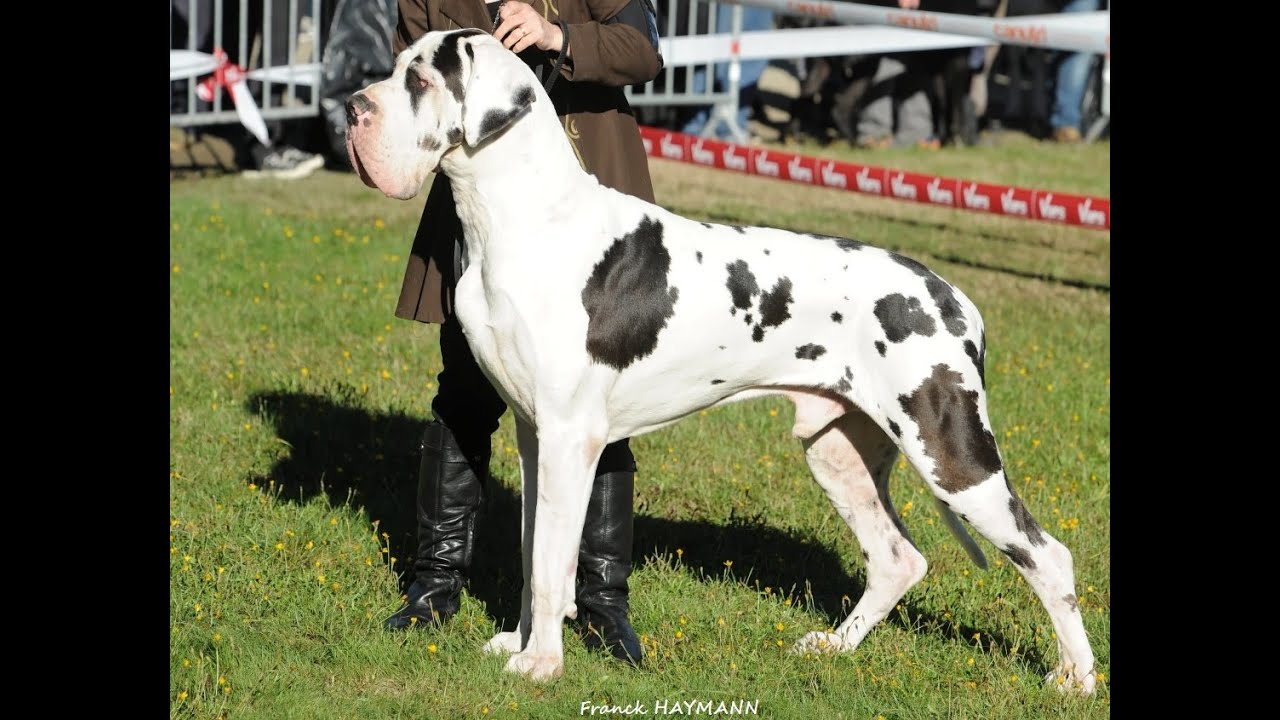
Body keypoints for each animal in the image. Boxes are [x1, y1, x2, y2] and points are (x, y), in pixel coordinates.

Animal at [345, 29, 1095, 691]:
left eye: (420, 81)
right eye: (398, 66)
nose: (352, 107)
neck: (523, 219)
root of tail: (953, 298)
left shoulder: (568, 436)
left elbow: (554, 562)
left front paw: (541, 665)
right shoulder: (535, 435)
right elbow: (536, 554)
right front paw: (522, 641)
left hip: (951, 452)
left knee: (1049, 557)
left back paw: (1075, 679)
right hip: (838, 450)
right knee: (897, 560)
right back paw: (835, 646)